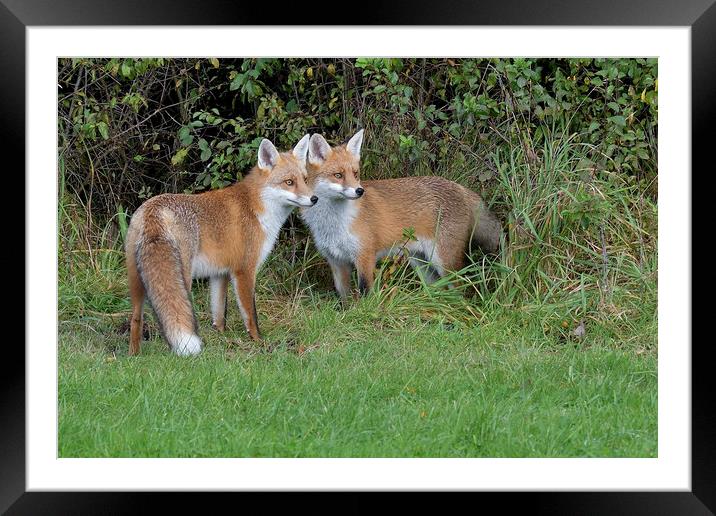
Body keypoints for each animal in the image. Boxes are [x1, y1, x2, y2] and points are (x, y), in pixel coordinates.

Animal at [126, 135, 316, 356]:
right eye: (289, 182)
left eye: (305, 179)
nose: (314, 198)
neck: (257, 208)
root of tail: (154, 212)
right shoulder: (244, 270)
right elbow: (251, 316)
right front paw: (259, 342)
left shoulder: (220, 273)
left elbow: (219, 315)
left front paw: (222, 340)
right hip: (183, 279)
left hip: (137, 281)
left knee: (135, 320)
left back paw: (134, 356)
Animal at [302, 129, 504, 298]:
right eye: (338, 175)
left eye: (355, 173)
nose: (360, 191)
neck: (333, 223)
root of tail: (460, 188)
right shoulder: (336, 262)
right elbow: (344, 298)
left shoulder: (365, 257)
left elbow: (365, 293)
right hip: (421, 264)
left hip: (444, 261)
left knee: (462, 289)